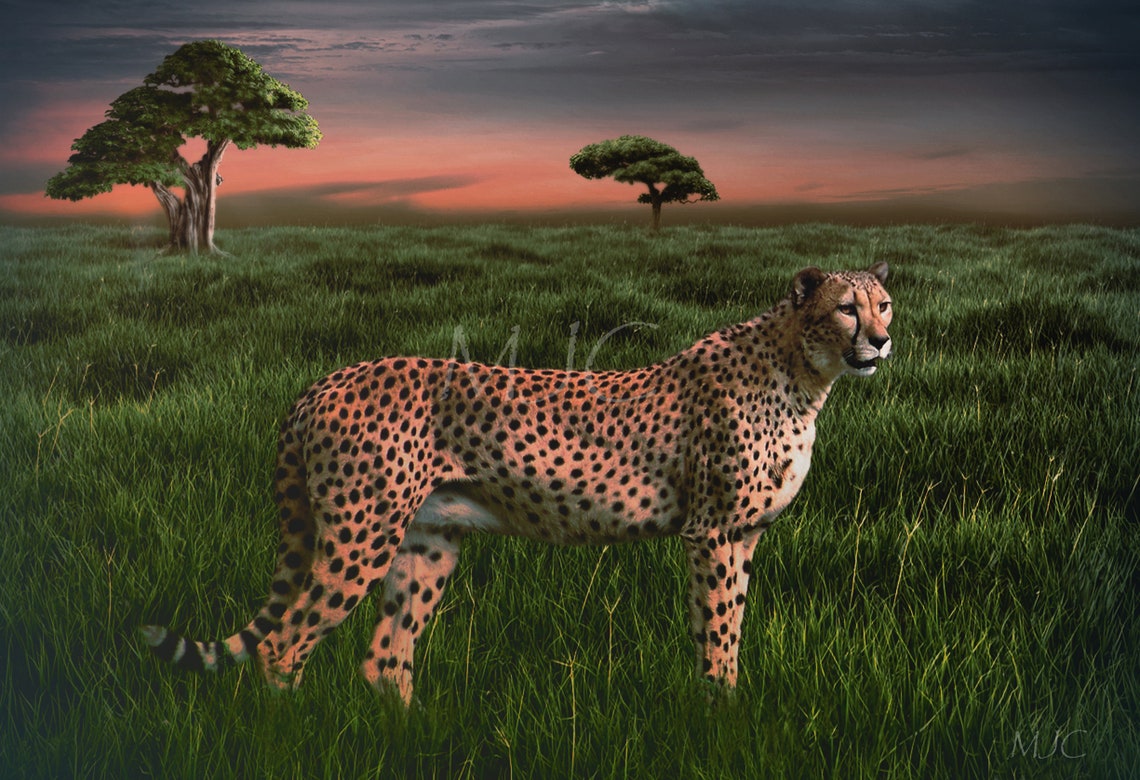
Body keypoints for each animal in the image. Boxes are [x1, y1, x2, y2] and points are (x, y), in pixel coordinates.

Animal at [143, 262, 893, 705]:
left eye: (885, 304)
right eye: (846, 309)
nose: (883, 341)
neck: (802, 370)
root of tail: (327, 378)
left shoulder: (744, 535)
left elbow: (731, 626)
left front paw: (727, 707)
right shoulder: (711, 534)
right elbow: (716, 630)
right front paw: (718, 716)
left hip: (428, 541)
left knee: (385, 657)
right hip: (362, 535)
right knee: (282, 646)